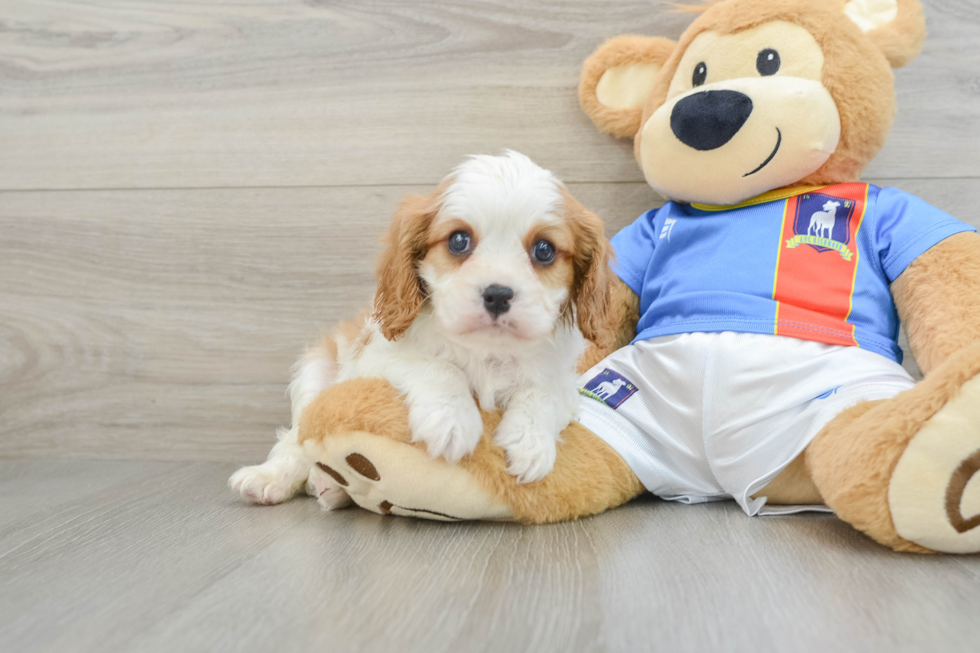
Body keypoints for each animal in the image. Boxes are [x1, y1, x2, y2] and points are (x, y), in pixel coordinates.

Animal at [233, 149, 608, 504]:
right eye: (459, 240)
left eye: (544, 249)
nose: (498, 295)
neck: (486, 350)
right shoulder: (376, 357)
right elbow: (437, 365)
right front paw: (452, 420)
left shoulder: (563, 382)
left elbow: (542, 392)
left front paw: (530, 443)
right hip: (314, 372)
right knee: (295, 441)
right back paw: (276, 477)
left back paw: (331, 488)